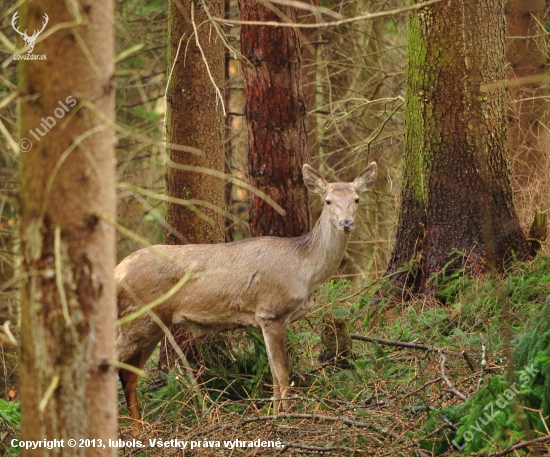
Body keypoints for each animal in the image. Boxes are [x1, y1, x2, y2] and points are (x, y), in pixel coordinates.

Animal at [116, 160, 380, 424]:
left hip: (151, 325)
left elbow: (273, 372)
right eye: (327, 200)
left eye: (357, 199)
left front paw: (275, 412)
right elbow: (283, 371)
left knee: (129, 376)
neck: (305, 272)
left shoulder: (267, 319)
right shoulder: (271, 312)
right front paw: (285, 416)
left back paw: (139, 426)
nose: (346, 224)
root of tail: (118, 270)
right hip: (137, 319)